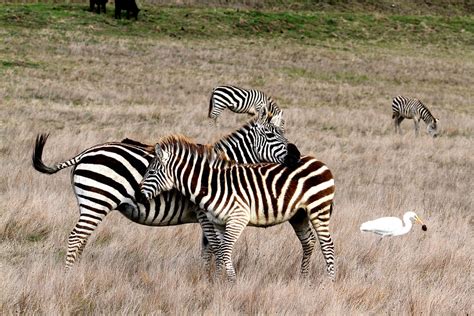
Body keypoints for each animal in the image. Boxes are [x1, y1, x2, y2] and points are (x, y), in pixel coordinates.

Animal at [30, 107, 300, 270]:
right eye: (271, 135)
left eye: (283, 132)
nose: (296, 155)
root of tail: (86, 152)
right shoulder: (205, 214)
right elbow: (214, 246)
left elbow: (208, 248)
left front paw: (207, 277)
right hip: (98, 201)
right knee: (76, 237)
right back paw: (69, 274)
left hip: (88, 203)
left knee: (82, 238)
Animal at [139, 136, 336, 282]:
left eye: (151, 172)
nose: (139, 196)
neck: (212, 185)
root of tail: (318, 161)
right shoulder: (218, 222)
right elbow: (219, 250)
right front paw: (217, 281)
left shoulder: (237, 218)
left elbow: (226, 250)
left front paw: (231, 282)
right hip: (299, 214)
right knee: (308, 241)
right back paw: (303, 278)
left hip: (318, 208)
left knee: (327, 244)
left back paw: (329, 281)